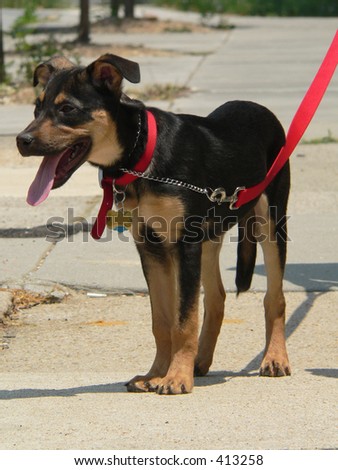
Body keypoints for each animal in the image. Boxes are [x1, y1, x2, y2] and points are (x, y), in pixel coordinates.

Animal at [16, 53, 290, 394]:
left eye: (67, 108)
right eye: (36, 108)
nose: (21, 141)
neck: (140, 157)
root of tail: (259, 107)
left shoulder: (184, 245)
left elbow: (184, 320)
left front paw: (176, 378)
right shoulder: (151, 248)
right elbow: (162, 321)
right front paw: (156, 373)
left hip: (271, 222)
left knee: (274, 298)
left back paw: (274, 359)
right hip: (209, 238)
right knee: (216, 298)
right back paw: (200, 361)